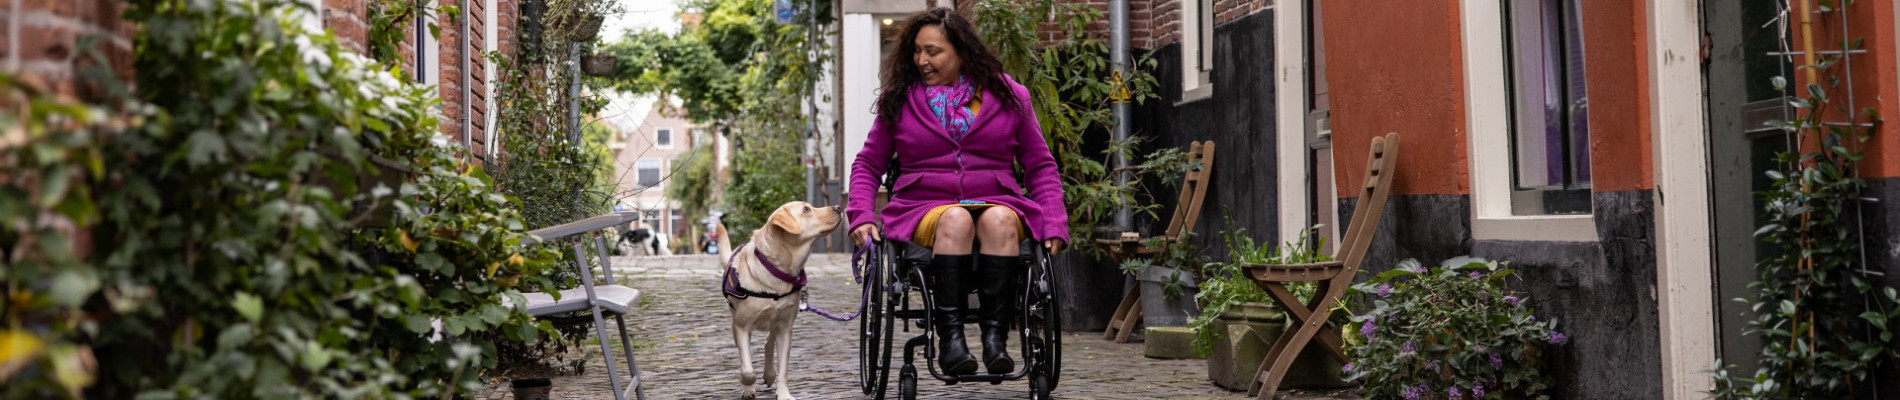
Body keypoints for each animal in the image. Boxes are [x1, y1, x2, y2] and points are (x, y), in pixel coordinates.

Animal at [722, 201, 843, 400]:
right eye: (806, 209)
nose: (839, 207)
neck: (776, 270)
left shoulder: (785, 328)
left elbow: (783, 369)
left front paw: (784, 393)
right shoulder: (741, 326)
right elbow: (747, 369)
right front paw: (748, 388)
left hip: (776, 321)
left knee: (768, 343)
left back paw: (769, 373)